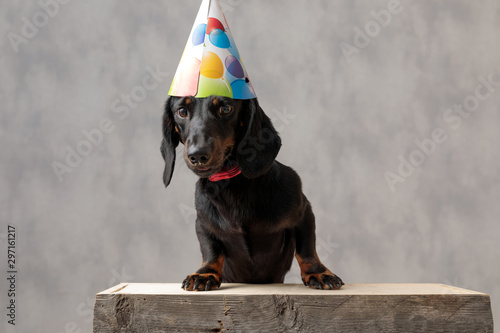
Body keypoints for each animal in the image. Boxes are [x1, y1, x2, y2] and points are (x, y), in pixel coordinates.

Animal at [161, 94, 344, 290]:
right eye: (182, 111)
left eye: (226, 109)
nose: (198, 155)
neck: (232, 185)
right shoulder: (203, 224)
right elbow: (210, 249)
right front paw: (205, 273)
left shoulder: (305, 213)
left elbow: (306, 248)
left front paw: (318, 272)